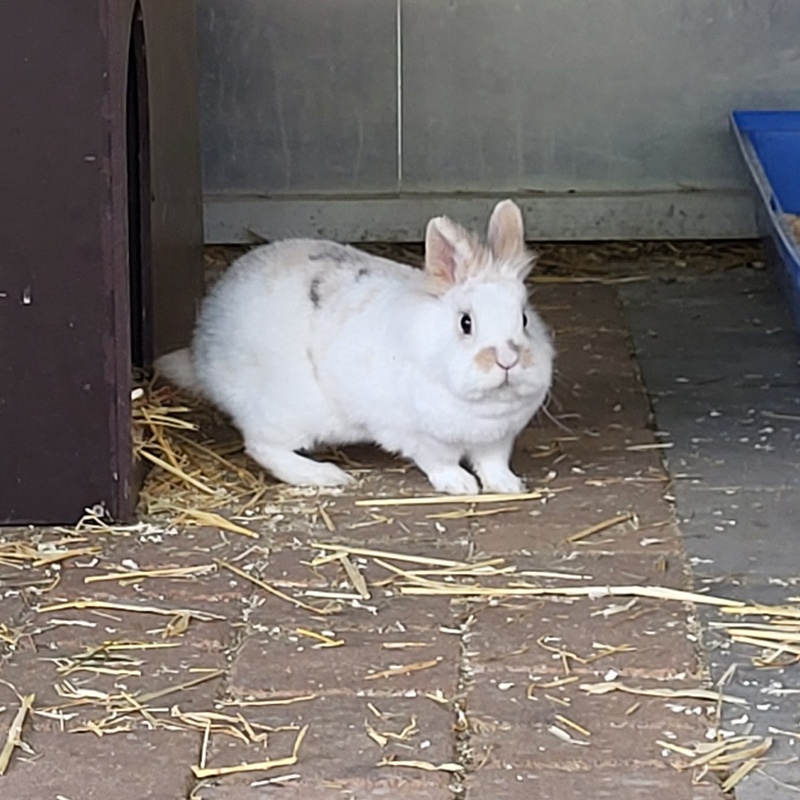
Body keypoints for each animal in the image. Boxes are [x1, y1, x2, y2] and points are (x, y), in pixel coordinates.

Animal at [155, 199, 554, 495]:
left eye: (524, 319)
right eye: (466, 323)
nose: (508, 359)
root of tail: (203, 348)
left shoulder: (498, 440)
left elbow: (492, 463)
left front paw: (509, 486)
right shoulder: (415, 435)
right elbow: (439, 462)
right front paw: (460, 485)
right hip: (285, 410)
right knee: (262, 445)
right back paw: (325, 475)